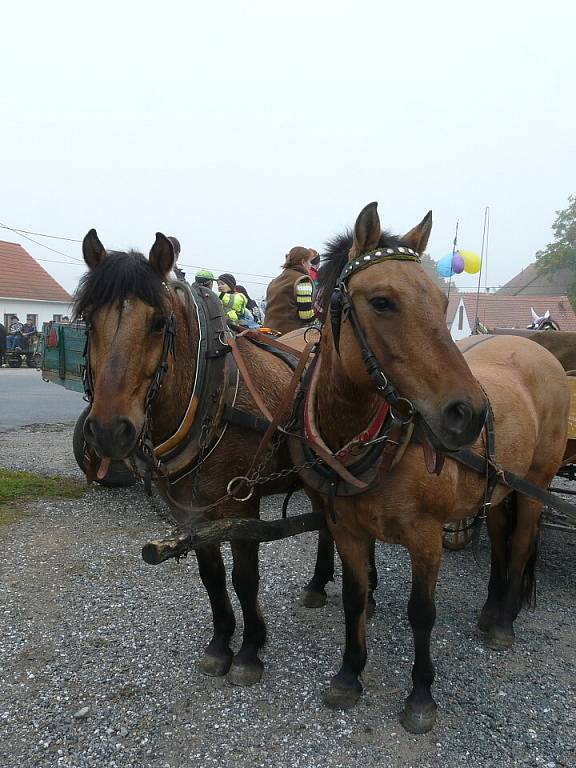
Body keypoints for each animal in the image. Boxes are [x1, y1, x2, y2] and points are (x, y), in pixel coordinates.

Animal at [74, 231, 312, 688]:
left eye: (158, 323)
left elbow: (245, 578)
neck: (214, 388)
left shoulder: (241, 505)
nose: (109, 431)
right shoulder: (192, 509)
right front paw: (220, 644)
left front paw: (250, 650)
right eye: (89, 322)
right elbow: (212, 577)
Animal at [294, 202, 568, 732]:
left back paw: (503, 623)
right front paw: (348, 675)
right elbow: (354, 599)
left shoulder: (425, 539)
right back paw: (489, 610)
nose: (469, 414)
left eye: (443, 301)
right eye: (382, 301)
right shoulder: (348, 531)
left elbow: (422, 612)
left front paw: (421, 695)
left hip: (535, 486)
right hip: (497, 487)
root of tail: (537, 350)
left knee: (521, 543)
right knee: (500, 541)